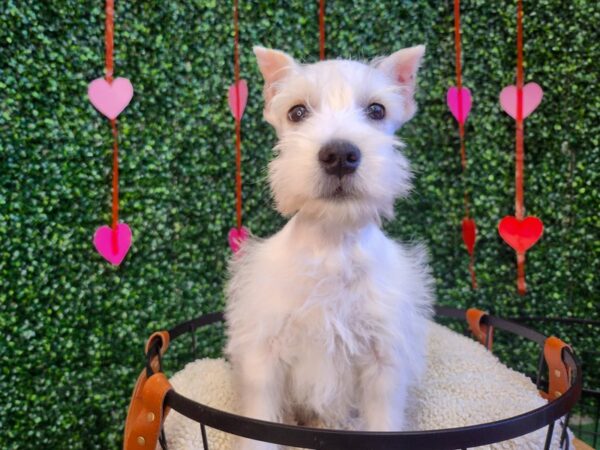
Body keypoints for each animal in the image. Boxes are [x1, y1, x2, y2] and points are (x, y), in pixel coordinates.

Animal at [225, 45, 436, 450]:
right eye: (297, 112)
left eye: (377, 110)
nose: (340, 155)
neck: (332, 243)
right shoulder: (265, 357)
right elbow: (260, 421)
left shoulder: (383, 361)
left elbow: (383, 420)